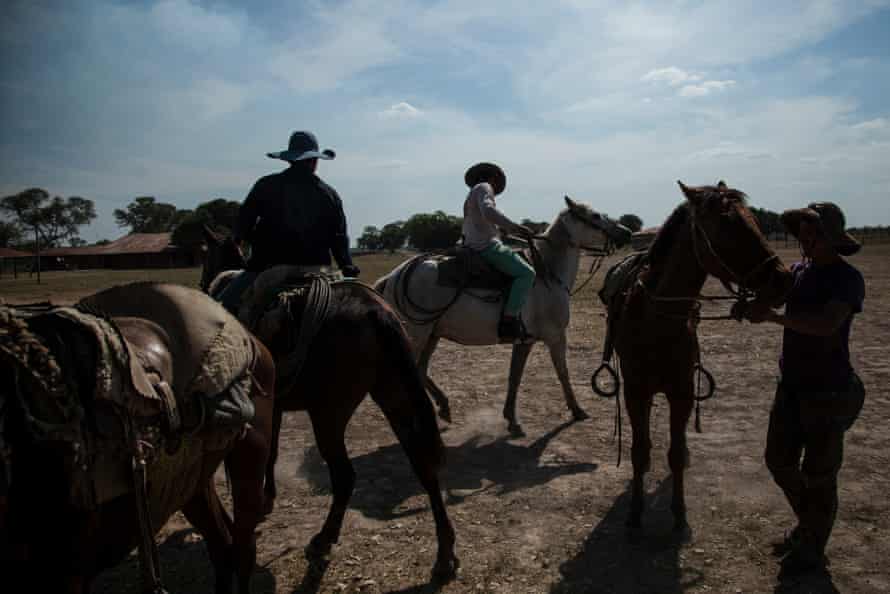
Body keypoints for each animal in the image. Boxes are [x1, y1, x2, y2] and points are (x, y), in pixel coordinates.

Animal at [0, 282, 276, 592]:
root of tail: (248, 336)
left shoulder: (65, 573)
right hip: (191, 480)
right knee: (222, 545)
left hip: (250, 457)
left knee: (242, 548)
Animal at [612, 179, 792, 532]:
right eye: (727, 226)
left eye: (754, 220)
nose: (783, 279)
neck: (657, 321)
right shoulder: (636, 392)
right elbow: (639, 452)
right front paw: (635, 514)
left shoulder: (682, 393)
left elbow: (675, 454)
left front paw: (679, 514)